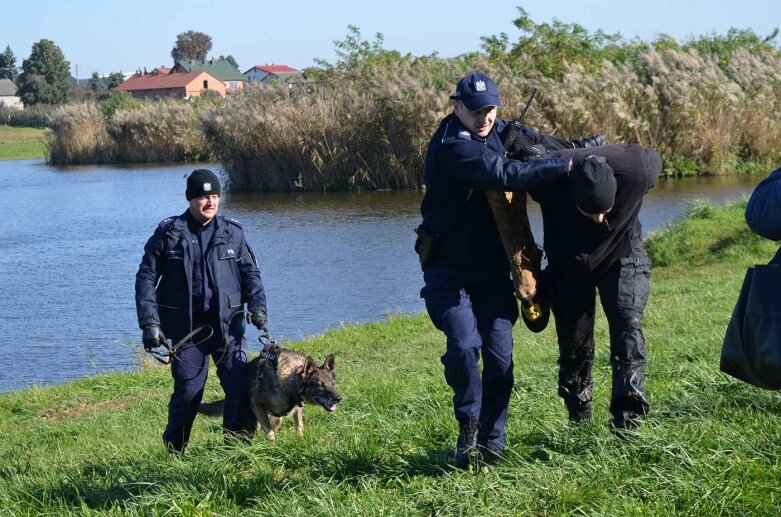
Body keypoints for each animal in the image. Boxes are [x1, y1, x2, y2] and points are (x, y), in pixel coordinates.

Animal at [197, 346, 340, 440]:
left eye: (333, 383)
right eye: (320, 385)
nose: (339, 398)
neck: (289, 379)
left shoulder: (297, 409)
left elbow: (299, 426)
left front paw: (300, 440)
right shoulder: (258, 406)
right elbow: (269, 433)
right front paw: (272, 447)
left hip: (277, 418)